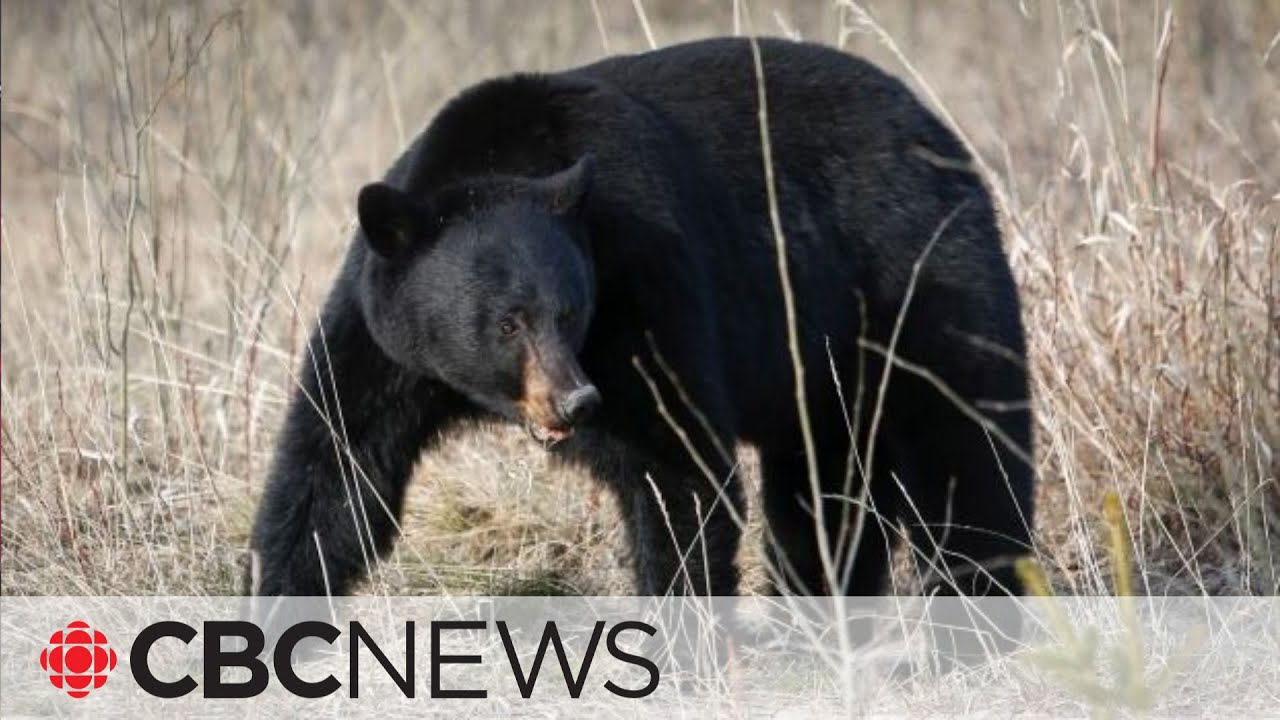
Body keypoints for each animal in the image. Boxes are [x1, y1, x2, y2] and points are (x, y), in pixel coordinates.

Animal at [249, 36, 1035, 600]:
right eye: (507, 322)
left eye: (569, 312)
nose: (576, 399)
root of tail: (937, 128)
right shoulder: (385, 336)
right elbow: (336, 463)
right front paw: (277, 603)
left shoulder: (646, 282)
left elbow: (676, 467)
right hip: (827, 365)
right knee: (825, 487)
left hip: (923, 279)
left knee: (967, 447)